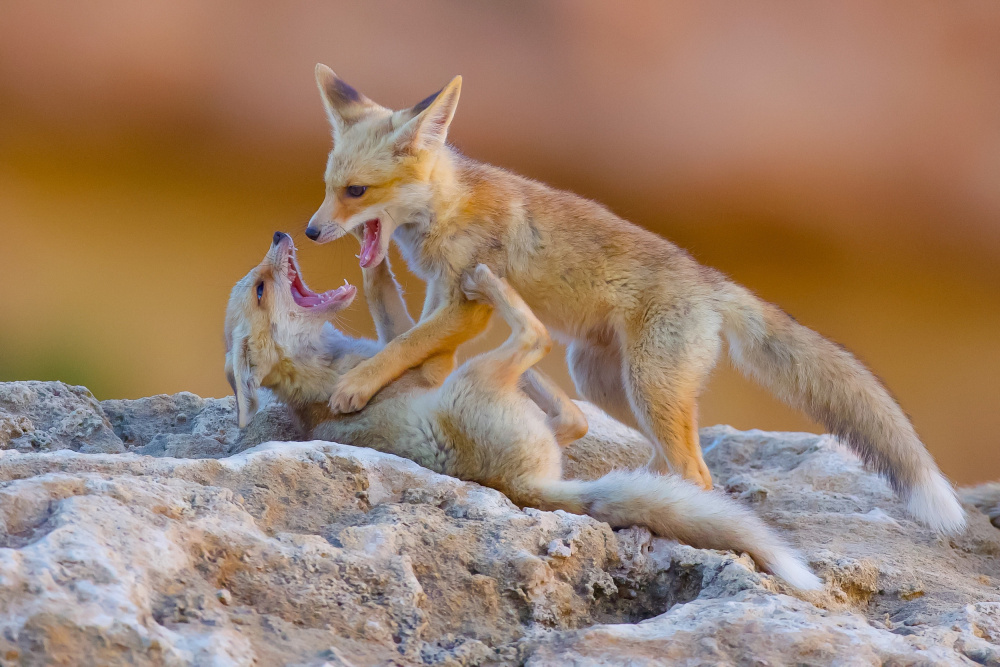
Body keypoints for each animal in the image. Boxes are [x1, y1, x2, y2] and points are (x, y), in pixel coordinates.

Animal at [223, 232, 822, 591]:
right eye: (260, 289)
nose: (280, 235)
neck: (322, 366)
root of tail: (526, 490)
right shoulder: (428, 373)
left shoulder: (399, 348)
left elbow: (388, 307)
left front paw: (376, 257)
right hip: (471, 380)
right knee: (538, 345)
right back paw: (494, 288)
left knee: (571, 415)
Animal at [301, 63, 965, 534]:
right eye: (329, 187)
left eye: (357, 191)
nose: (309, 231)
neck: (448, 207)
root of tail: (712, 280)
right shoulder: (444, 295)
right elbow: (415, 346)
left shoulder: (468, 301)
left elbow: (404, 346)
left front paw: (355, 387)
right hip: (602, 380)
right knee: (663, 460)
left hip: (647, 385)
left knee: (698, 473)